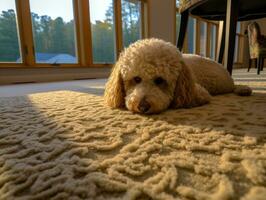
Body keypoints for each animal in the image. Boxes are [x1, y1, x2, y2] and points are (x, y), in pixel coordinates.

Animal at [104, 38, 251, 113]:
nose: (142, 107)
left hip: (223, 84)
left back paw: (243, 89)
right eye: (136, 79)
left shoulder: (199, 91)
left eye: (159, 80)